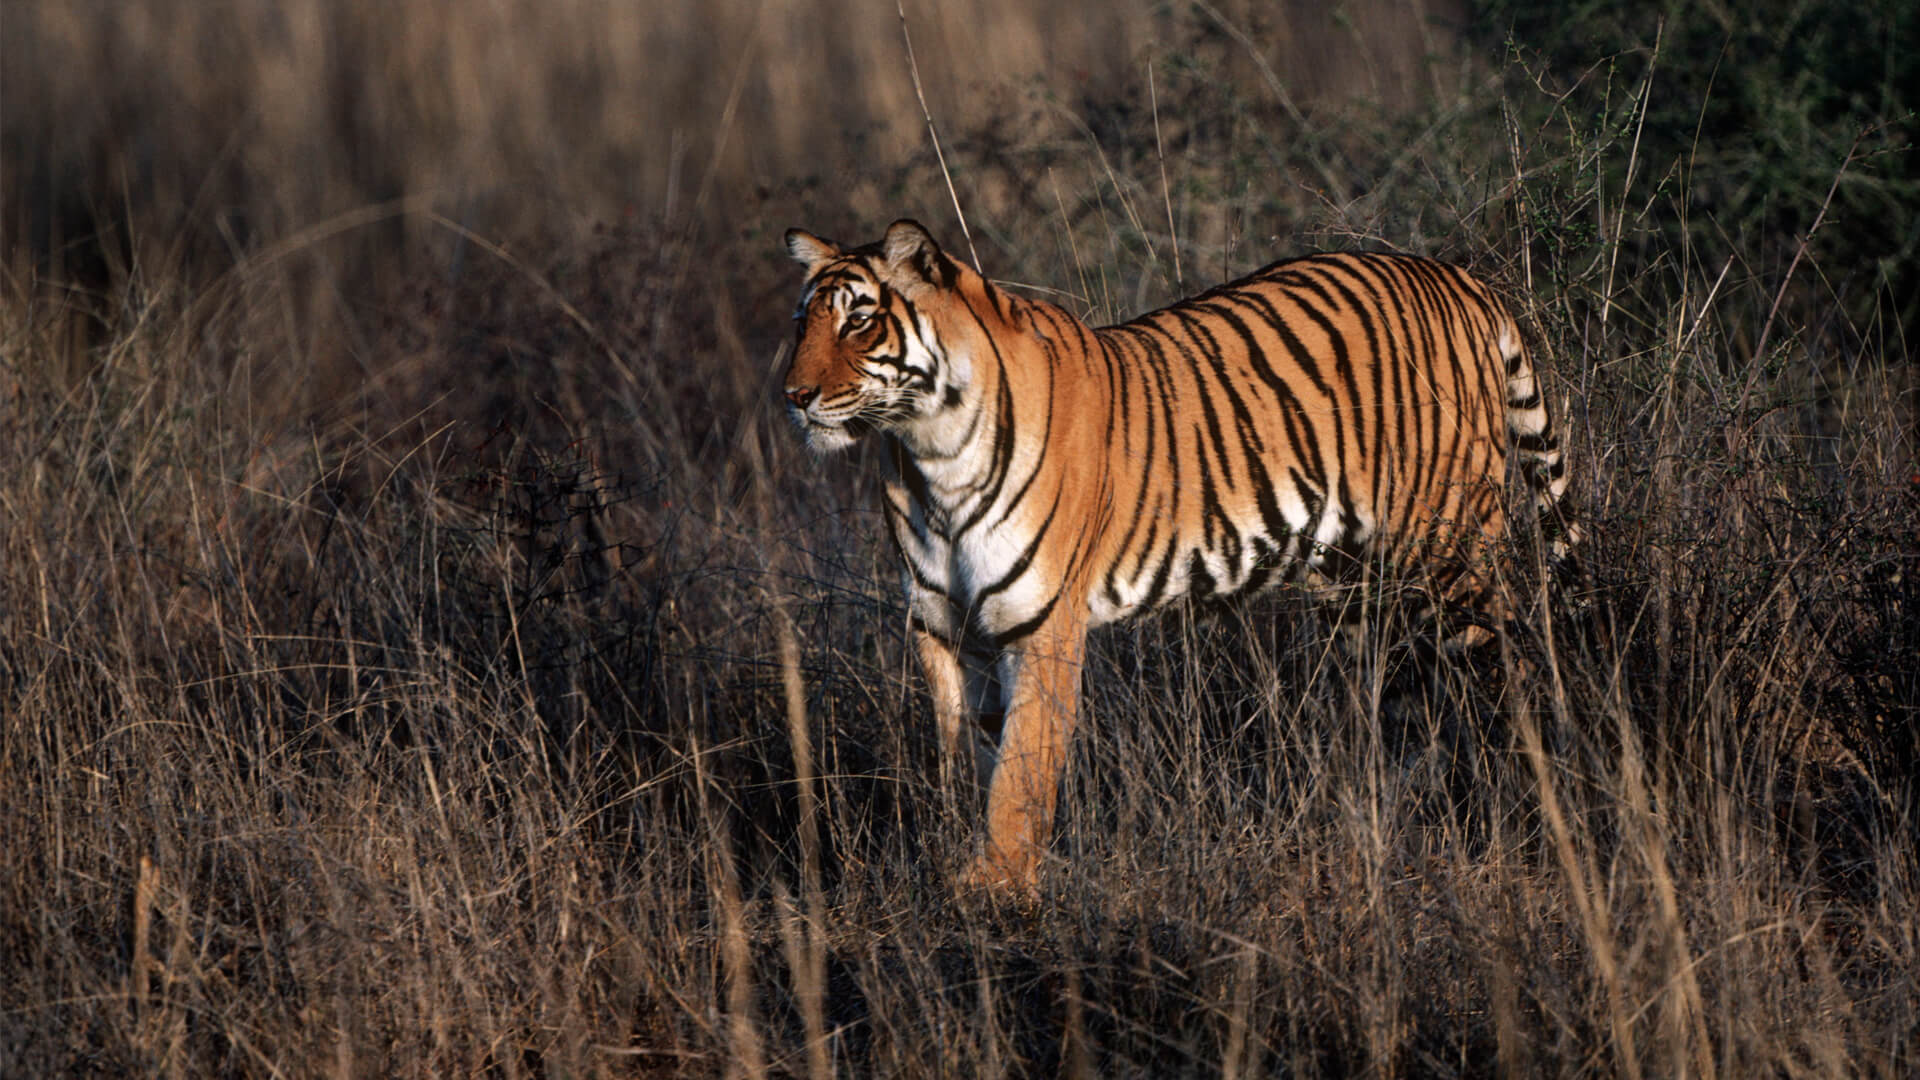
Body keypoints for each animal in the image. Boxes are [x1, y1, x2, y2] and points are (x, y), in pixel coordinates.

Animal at [779, 216, 1574, 891]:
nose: (794, 396)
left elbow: (1020, 772)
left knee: (1512, 667)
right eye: (802, 322)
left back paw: (1528, 804)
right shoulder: (945, 626)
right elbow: (966, 757)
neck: (930, 451)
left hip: (1453, 551)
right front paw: (964, 860)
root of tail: (1458, 278)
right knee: (1405, 704)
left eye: (859, 320)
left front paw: (997, 892)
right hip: (1360, 587)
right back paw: (1388, 821)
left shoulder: (1039, 625)